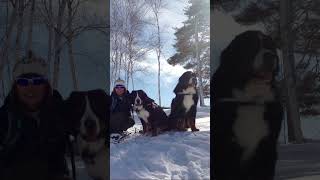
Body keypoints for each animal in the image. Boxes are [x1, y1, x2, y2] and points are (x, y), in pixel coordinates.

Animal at [212, 30, 282, 179]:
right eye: (250, 45)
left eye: (270, 46)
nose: (270, 56)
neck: (250, 100)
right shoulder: (225, 150)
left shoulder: (267, 148)